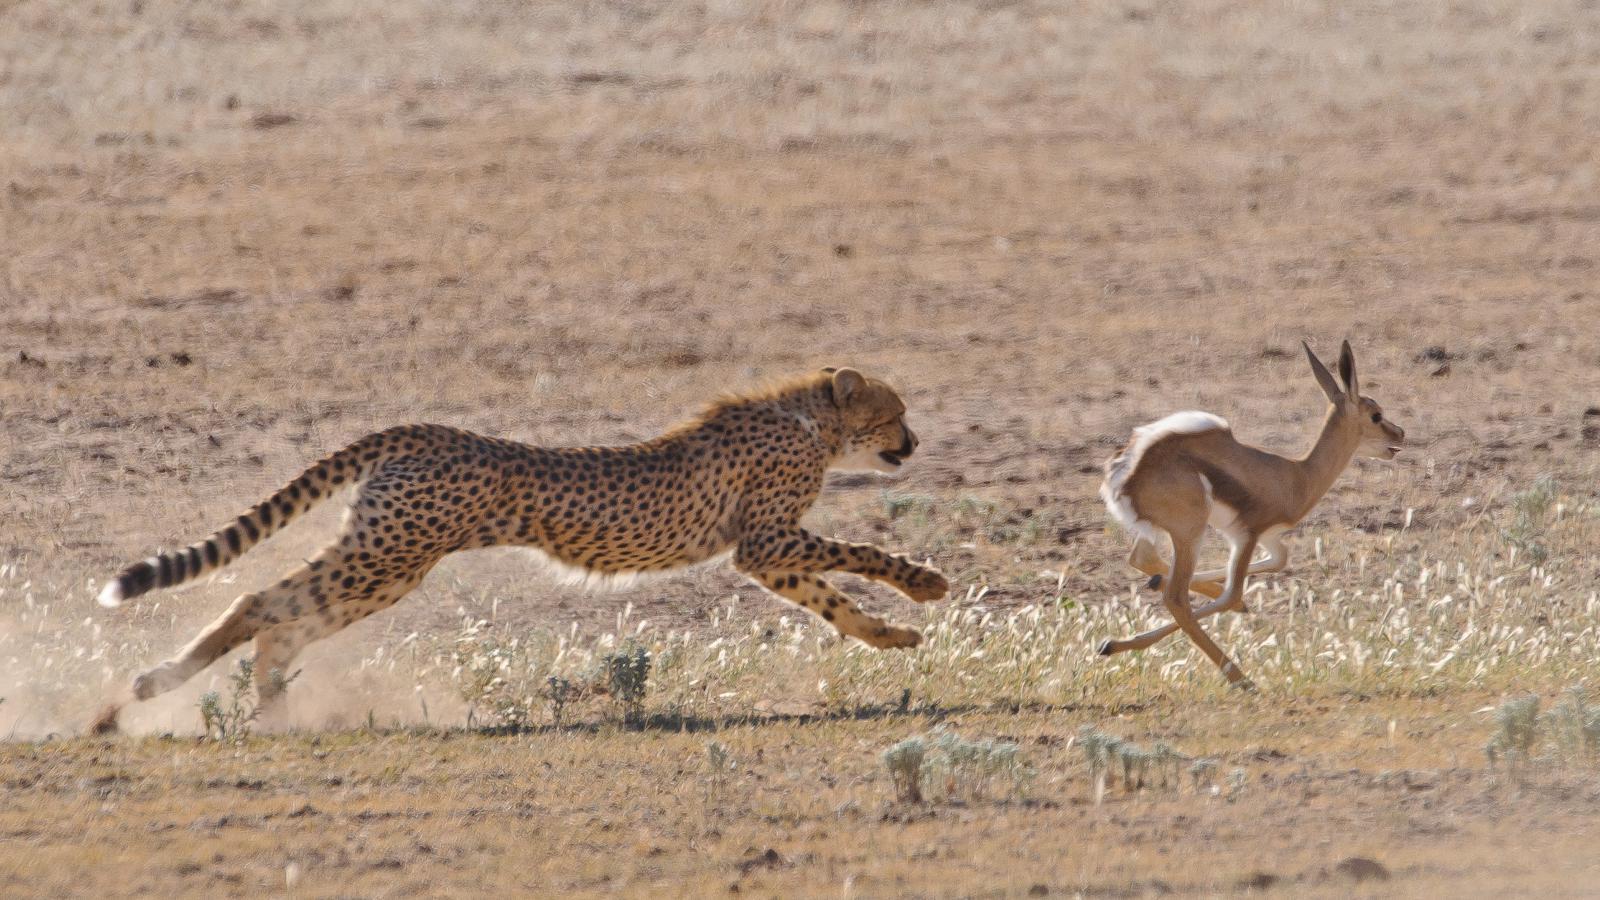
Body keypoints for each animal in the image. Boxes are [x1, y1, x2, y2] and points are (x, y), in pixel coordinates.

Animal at [90, 365, 947, 730]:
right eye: (895, 411)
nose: (913, 442)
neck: (814, 422)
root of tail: (425, 430)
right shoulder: (765, 540)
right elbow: (856, 554)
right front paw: (923, 584)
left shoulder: (765, 555)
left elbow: (829, 598)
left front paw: (889, 633)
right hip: (389, 556)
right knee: (260, 600)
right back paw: (171, 690)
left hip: (384, 562)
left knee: (281, 619)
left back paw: (259, 709)